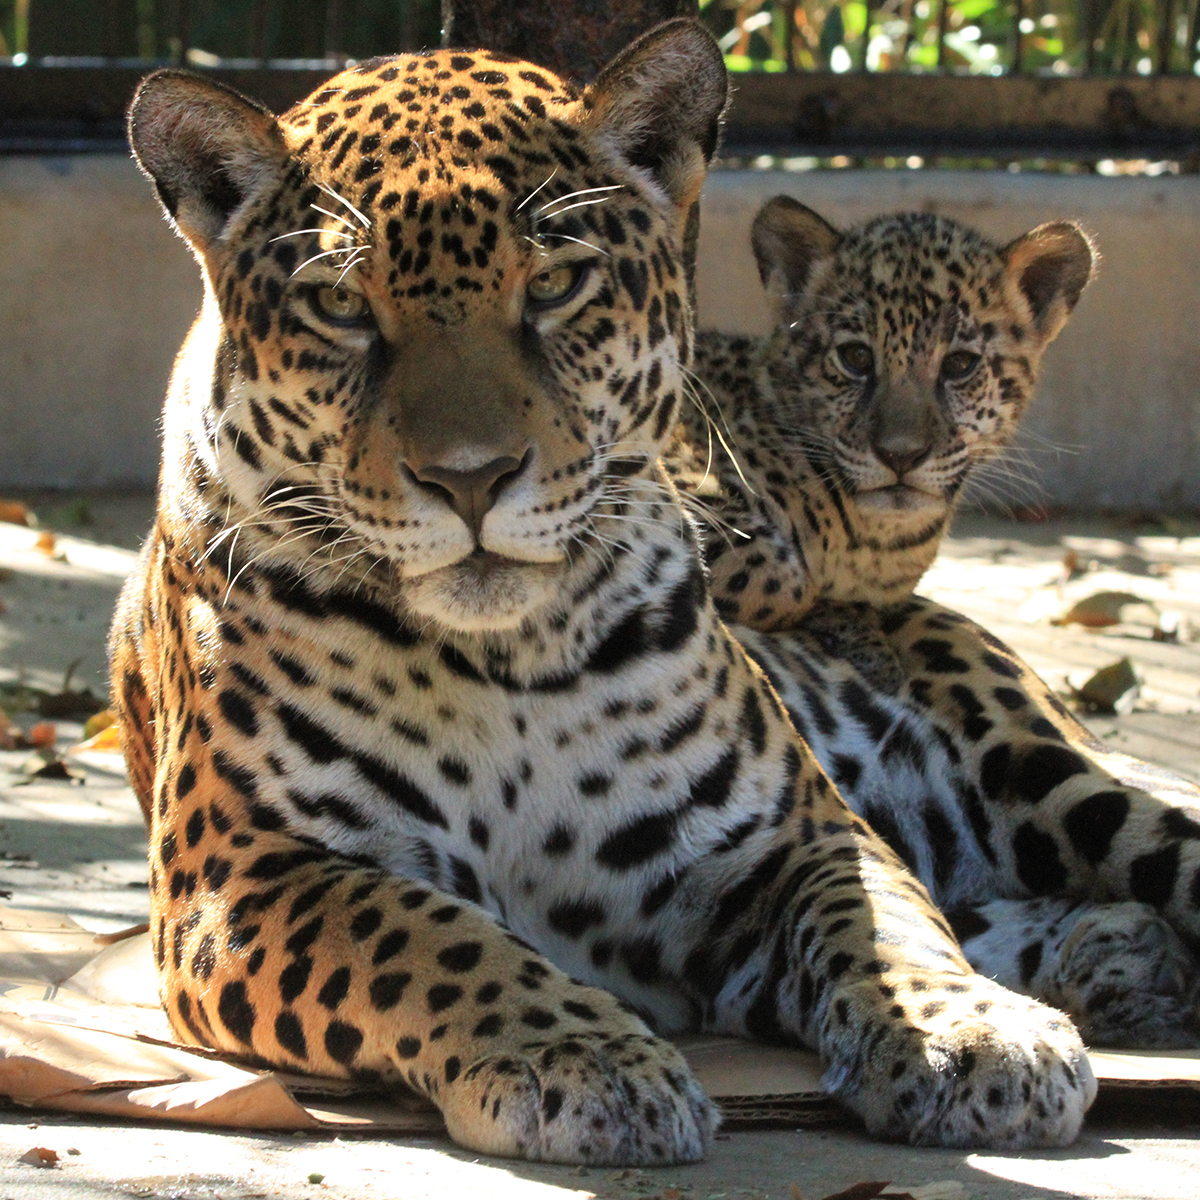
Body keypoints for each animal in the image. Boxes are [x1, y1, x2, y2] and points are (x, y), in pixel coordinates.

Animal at [109, 21, 1096, 1167]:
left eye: (554, 287)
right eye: (341, 306)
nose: (472, 478)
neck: (505, 663)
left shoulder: (795, 832)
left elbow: (890, 925)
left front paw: (978, 1032)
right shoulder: (245, 872)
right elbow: (432, 936)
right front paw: (583, 1058)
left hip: (1045, 775)